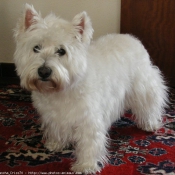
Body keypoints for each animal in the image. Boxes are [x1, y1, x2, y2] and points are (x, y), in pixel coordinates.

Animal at [14, 4, 168, 174]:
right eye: (36, 48)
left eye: (61, 51)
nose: (44, 71)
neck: (63, 90)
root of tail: (132, 38)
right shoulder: (54, 116)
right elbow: (57, 129)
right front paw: (56, 144)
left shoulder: (89, 119)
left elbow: (89, 143)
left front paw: (85, 166)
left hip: (144, 86)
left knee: (150, 105)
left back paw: (150, 124)